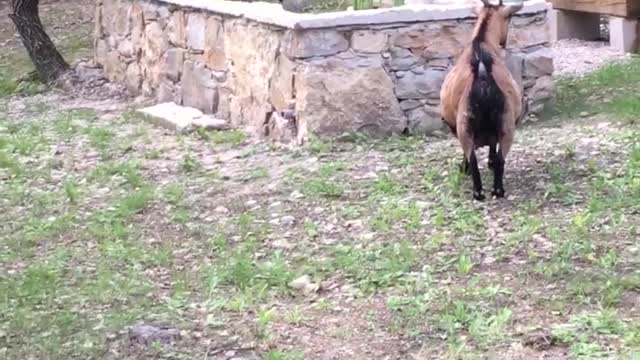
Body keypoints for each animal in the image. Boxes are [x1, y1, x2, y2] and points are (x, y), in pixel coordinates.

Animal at [440, 0, 524, 201]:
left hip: (466, 124)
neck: (482, 42)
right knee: (499, 157)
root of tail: (483, 73)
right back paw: (496, 189)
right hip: (506, 124)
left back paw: (481, 190)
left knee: (473, 157)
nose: (504, 41)